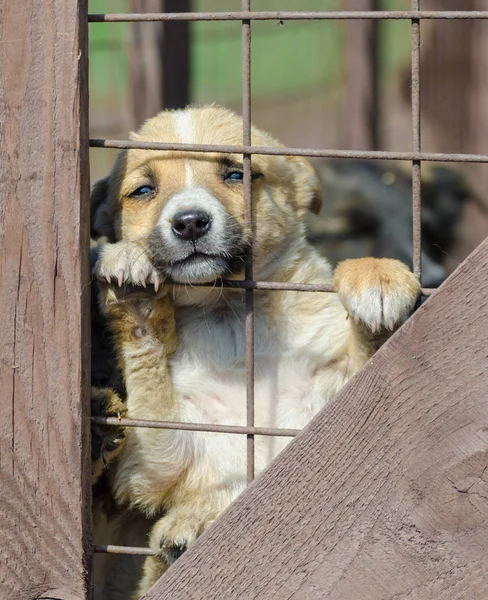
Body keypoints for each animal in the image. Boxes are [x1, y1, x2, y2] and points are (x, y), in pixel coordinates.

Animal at [92, 104, 420, 596]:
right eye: (144, 190)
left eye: (235, 174)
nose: (190, 222)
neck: (230, 317)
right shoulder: (158, 461)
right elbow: (150, 391)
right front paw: (133, 286)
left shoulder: (335, 395)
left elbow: (372, 353)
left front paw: (377, 276)